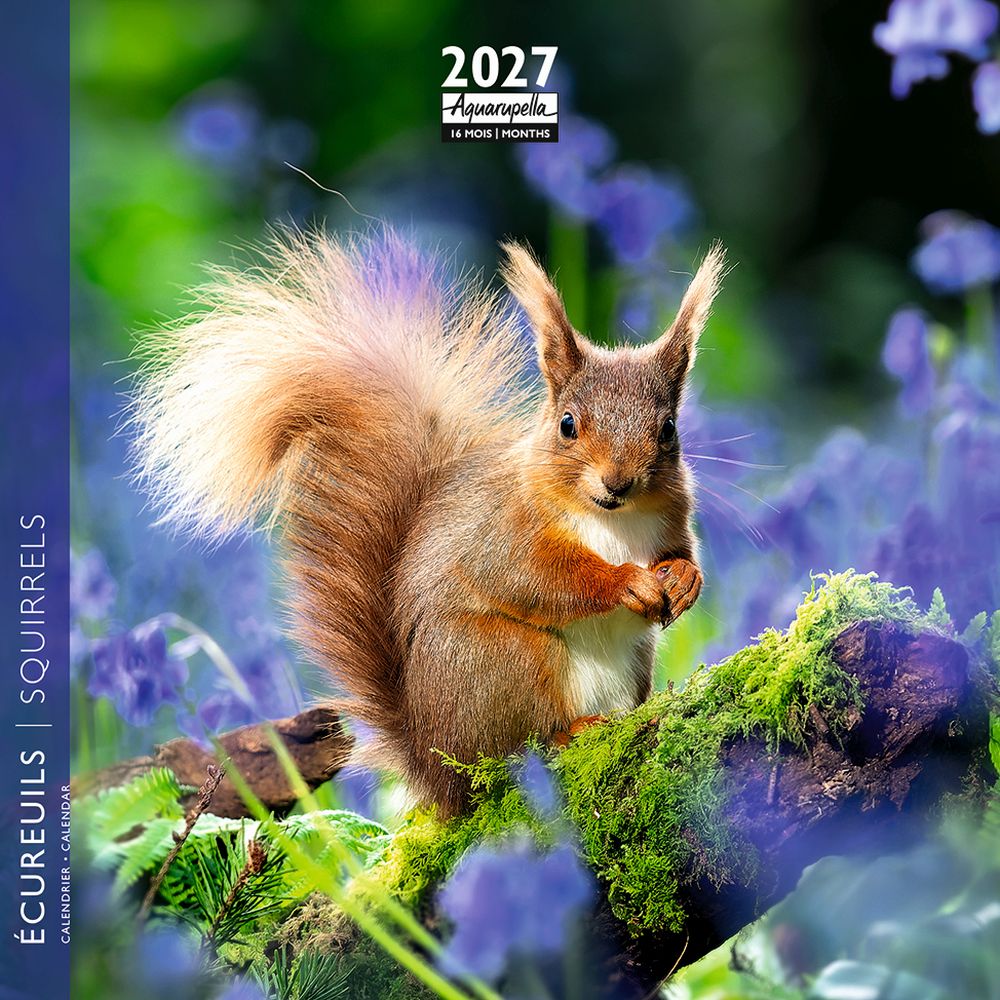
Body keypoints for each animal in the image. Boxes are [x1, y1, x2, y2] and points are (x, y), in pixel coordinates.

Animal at [130, 229, 725, 817]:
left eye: (669, 429)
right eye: (567, 425)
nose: (617, 482)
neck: (613, 520)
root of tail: (435, 767)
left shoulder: (672, 517)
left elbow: (680, 551)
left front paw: (684, 579)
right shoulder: (503, 531)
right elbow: (539, 578)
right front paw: (626, 582)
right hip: (502, 662)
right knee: (511, 753)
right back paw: (565, 732)